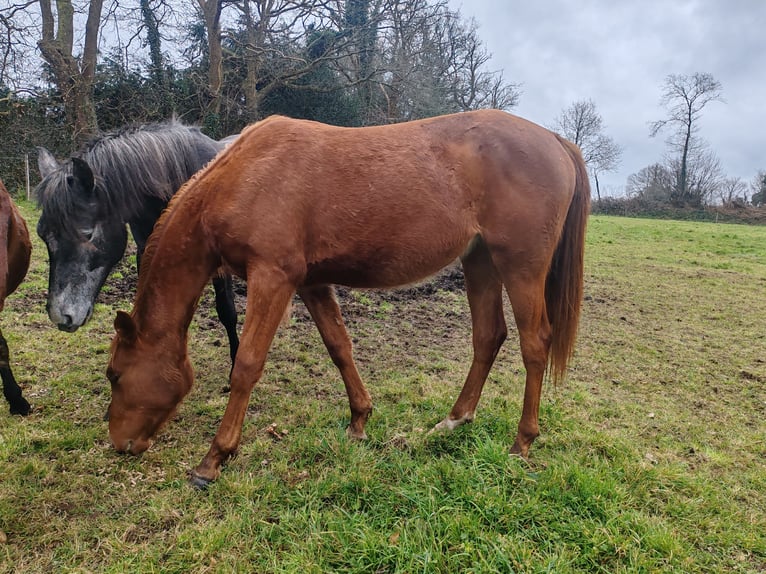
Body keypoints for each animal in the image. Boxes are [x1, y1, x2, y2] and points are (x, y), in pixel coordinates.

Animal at [106, 110, 588, 488]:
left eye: (114, 374)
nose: (119, 444)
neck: (245, 175)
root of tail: (555, 140)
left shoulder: (272, 278)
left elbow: (247, 366)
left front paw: (213, 459)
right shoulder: (310, 283)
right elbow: (339, 347)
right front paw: (359, 421)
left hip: (519, 266)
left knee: (534, 343)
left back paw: (522, 442)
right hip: (480, 260)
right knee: (489, 337)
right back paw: (452, 421)